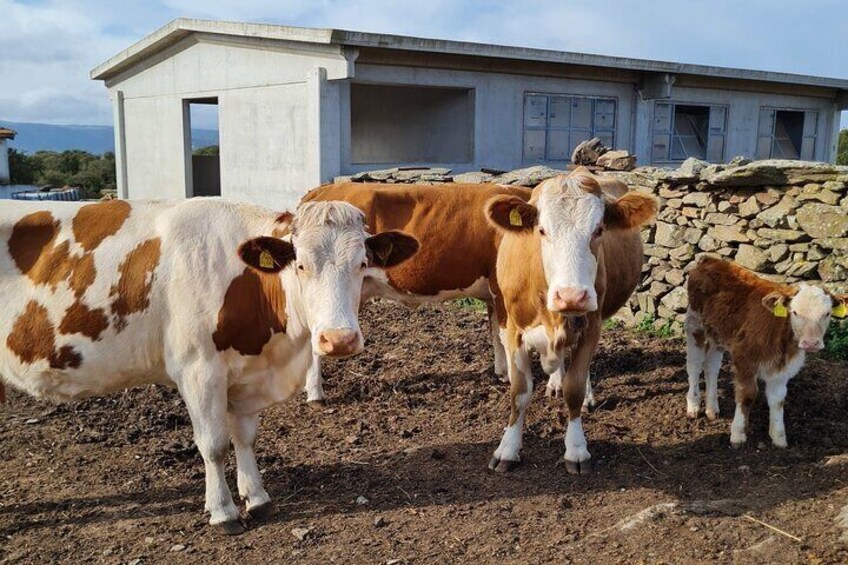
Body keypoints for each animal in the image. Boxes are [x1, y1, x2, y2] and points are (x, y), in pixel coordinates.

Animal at [0, 198, 418, 532]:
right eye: (300, 265)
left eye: (362, 264)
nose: (340, 339)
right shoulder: (198, 370)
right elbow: (215, 445)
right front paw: (223, 512)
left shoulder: (246, 374)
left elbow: (245, 437)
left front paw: (258, 498)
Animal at [484, 167, 656, 472]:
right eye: (541, 230)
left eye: (599, 230)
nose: (571, 296)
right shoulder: (514, 328)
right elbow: (519, 391)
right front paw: (507, 448)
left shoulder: (591, 326)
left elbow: (573, 388)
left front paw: (576, 449)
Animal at [684, 254, 844, 446]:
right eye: (795, 312)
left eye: (827, 313)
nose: (811, 343)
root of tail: (709, 259)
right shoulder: (744, 359)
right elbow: (747, 395)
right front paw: (738, 434)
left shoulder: (783, 369)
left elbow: (778, 400)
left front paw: (779, 438)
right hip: (695, 324)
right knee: (694, 365)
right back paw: (693, 406)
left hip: (718, 335)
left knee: (711, 367)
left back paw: (712, 409)